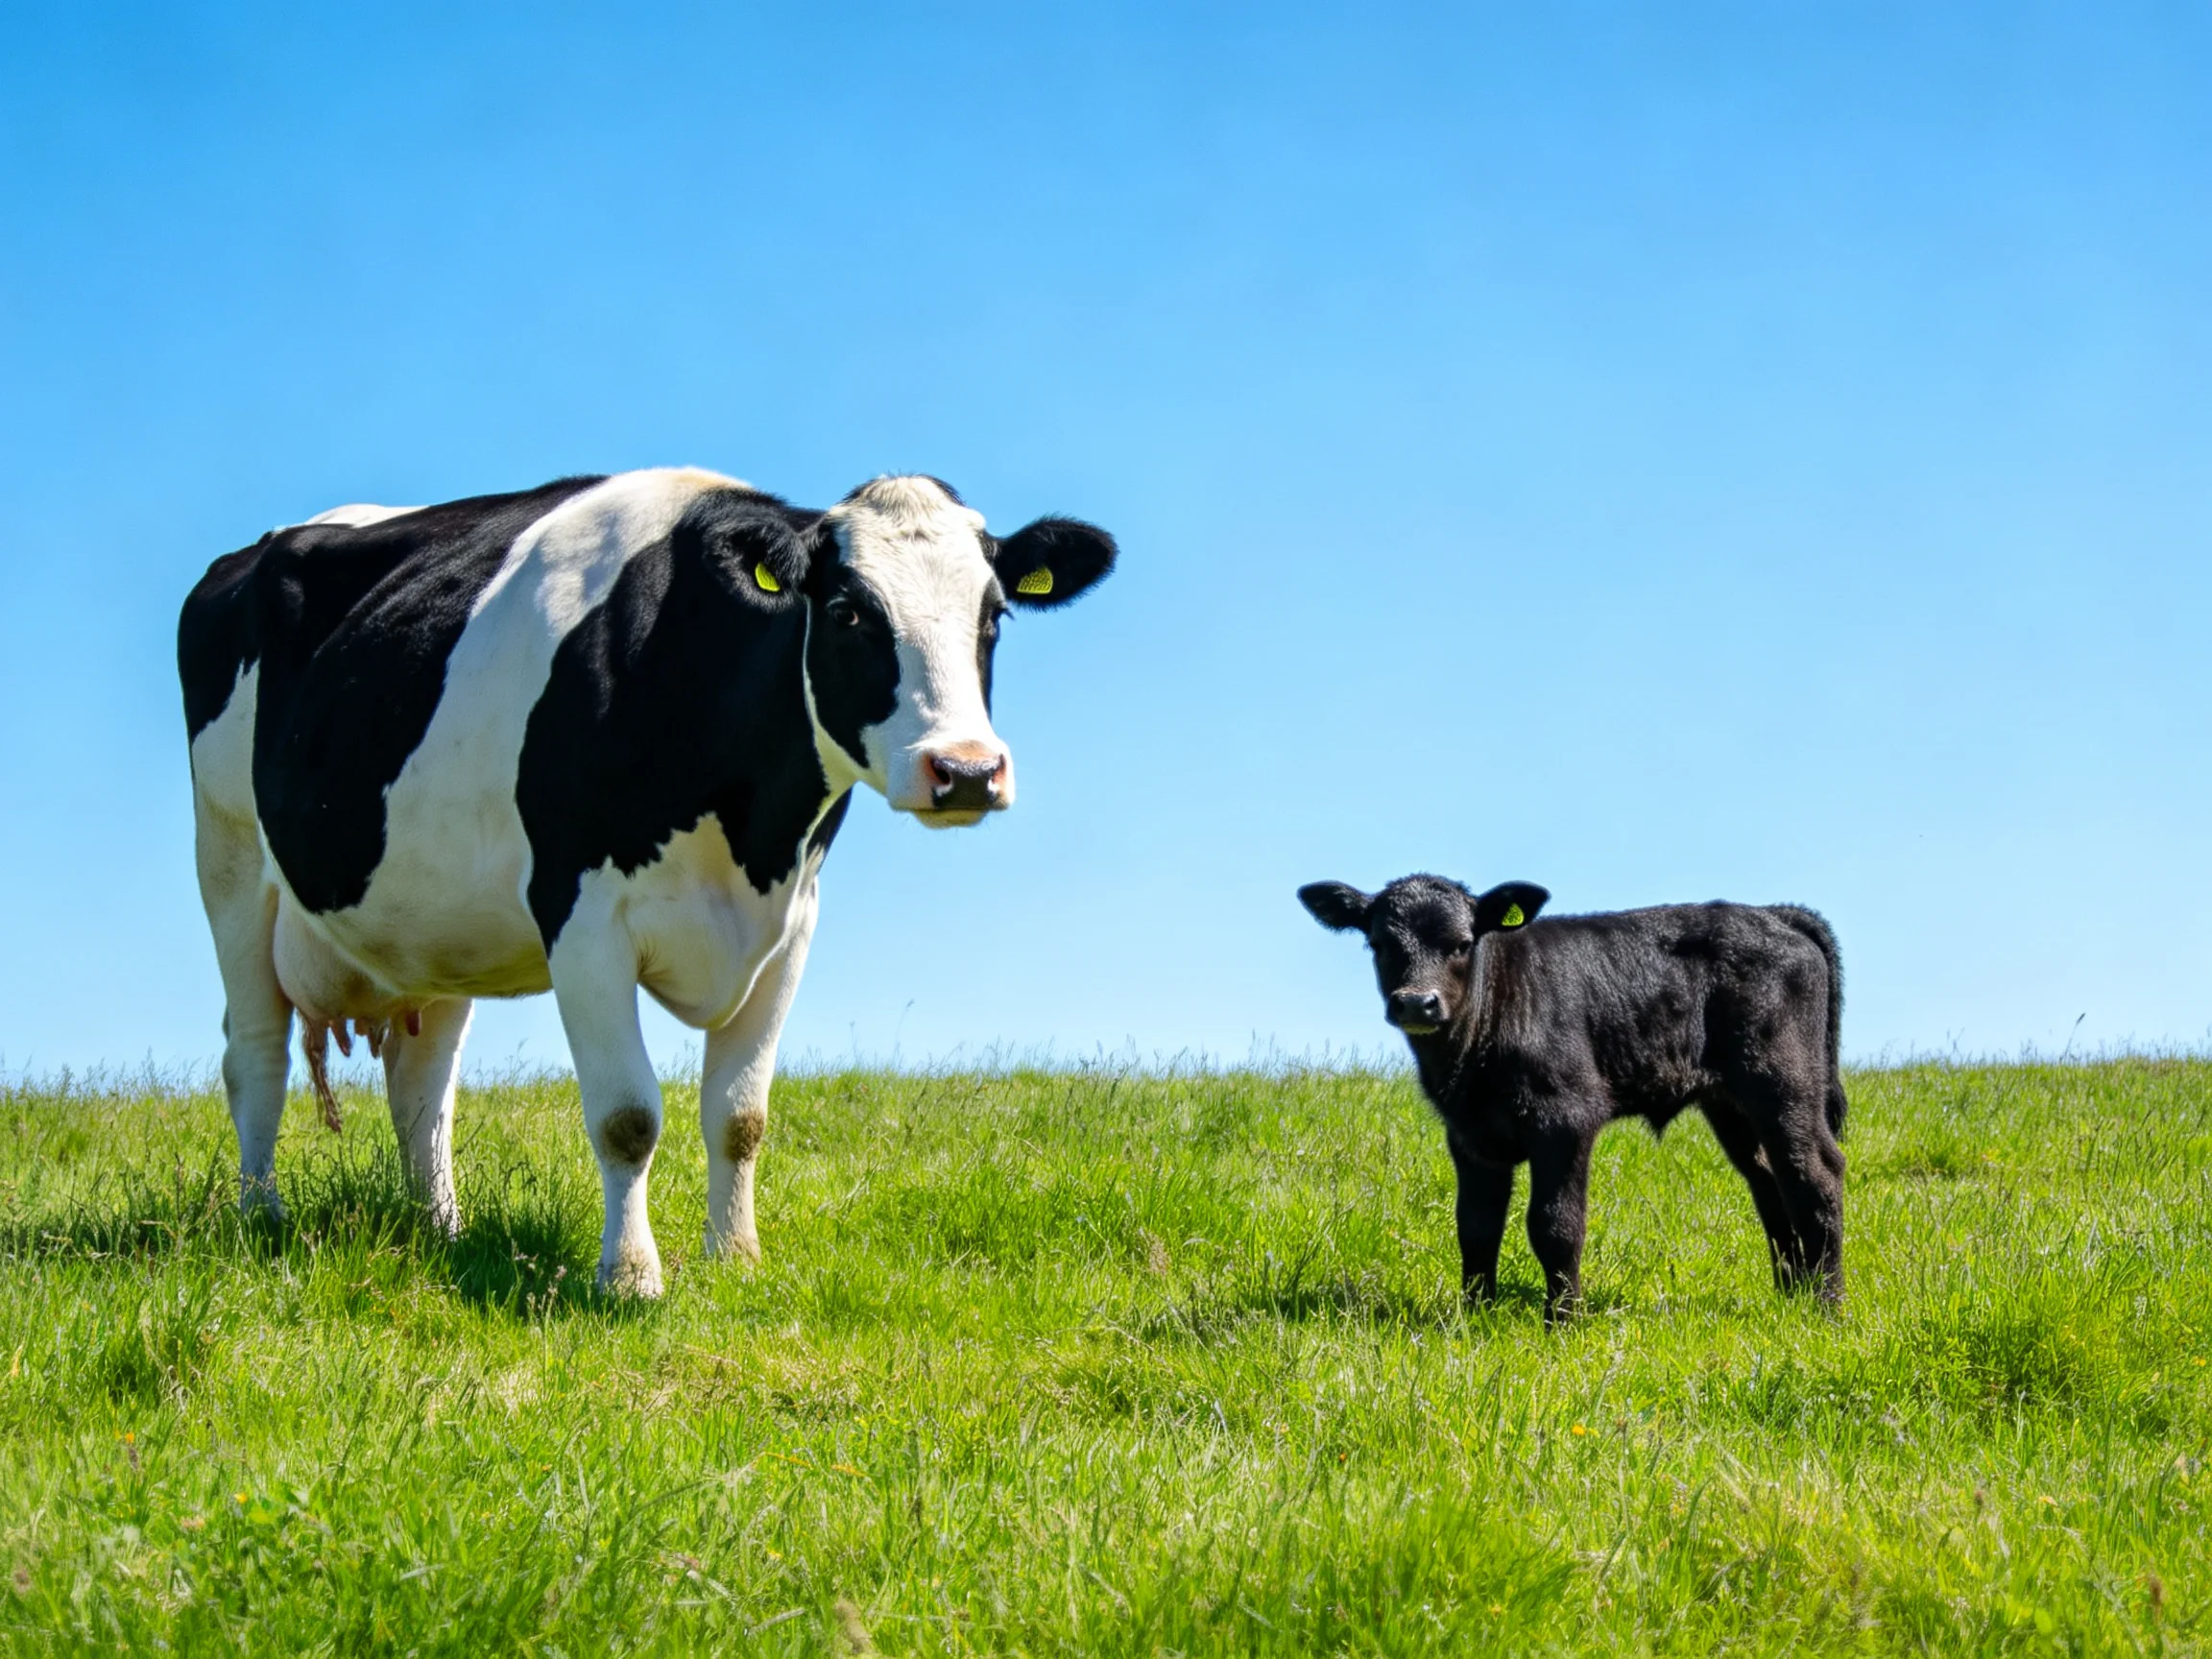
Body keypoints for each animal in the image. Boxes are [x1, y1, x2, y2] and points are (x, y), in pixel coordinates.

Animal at [180, 469, 1114, 1294]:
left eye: (994, 615)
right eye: (849, 611)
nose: (966, 771)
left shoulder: (790, 927)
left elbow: (740, 1116)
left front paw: (735, 1260)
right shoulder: (582, 920)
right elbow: (627, 1118)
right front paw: (630, 1277)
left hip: (433, 924)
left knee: (423, 1087)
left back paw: (439, 1229)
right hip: (231, 864)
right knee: (255, 1056)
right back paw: (261, 1220)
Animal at [1298, 875, 1846, 1322]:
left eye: (1462, 943)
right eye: (1379, 943)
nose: (1416, 1003)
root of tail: (1774, 913)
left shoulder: (1564, 1119)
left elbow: (1555, 1225)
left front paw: (1562, 1321)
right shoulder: (1470, 1137)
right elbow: (1475, 1226)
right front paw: (1474, 1318)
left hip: (1784, 1081)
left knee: (1815, 1176)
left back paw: (1827, 1306)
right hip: (1731, 1104)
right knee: (1769, 1181)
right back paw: (1791, 1294)